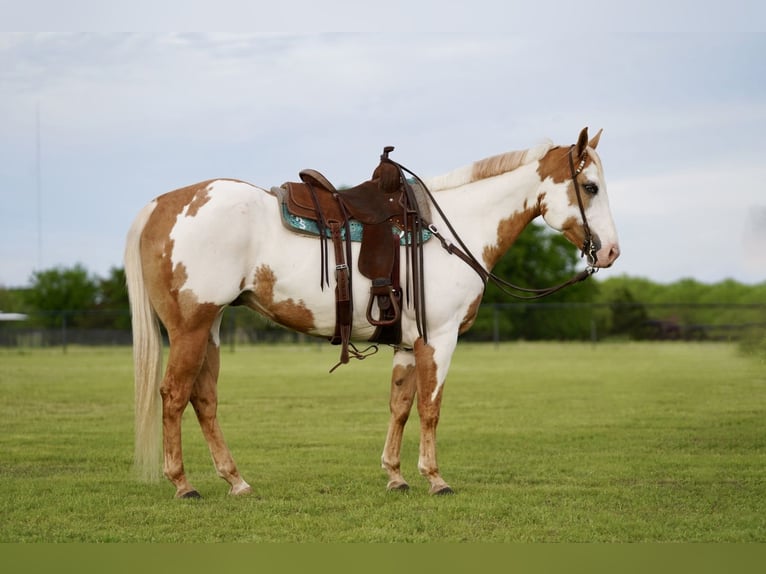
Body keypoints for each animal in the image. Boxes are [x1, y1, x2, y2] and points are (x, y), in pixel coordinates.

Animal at [123, 126, 620, 500]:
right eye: (590, 187)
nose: (612, 251)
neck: (452, 227)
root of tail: (160, 205)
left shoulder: (407, 342)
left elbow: (400, 406)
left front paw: (396, 475)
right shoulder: (440, 338)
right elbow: (431, 408)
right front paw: (435, 478)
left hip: (211, 327)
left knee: (204, 399)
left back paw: (236, 481)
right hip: (190, 327)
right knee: (173, 395)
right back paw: (183, 484)